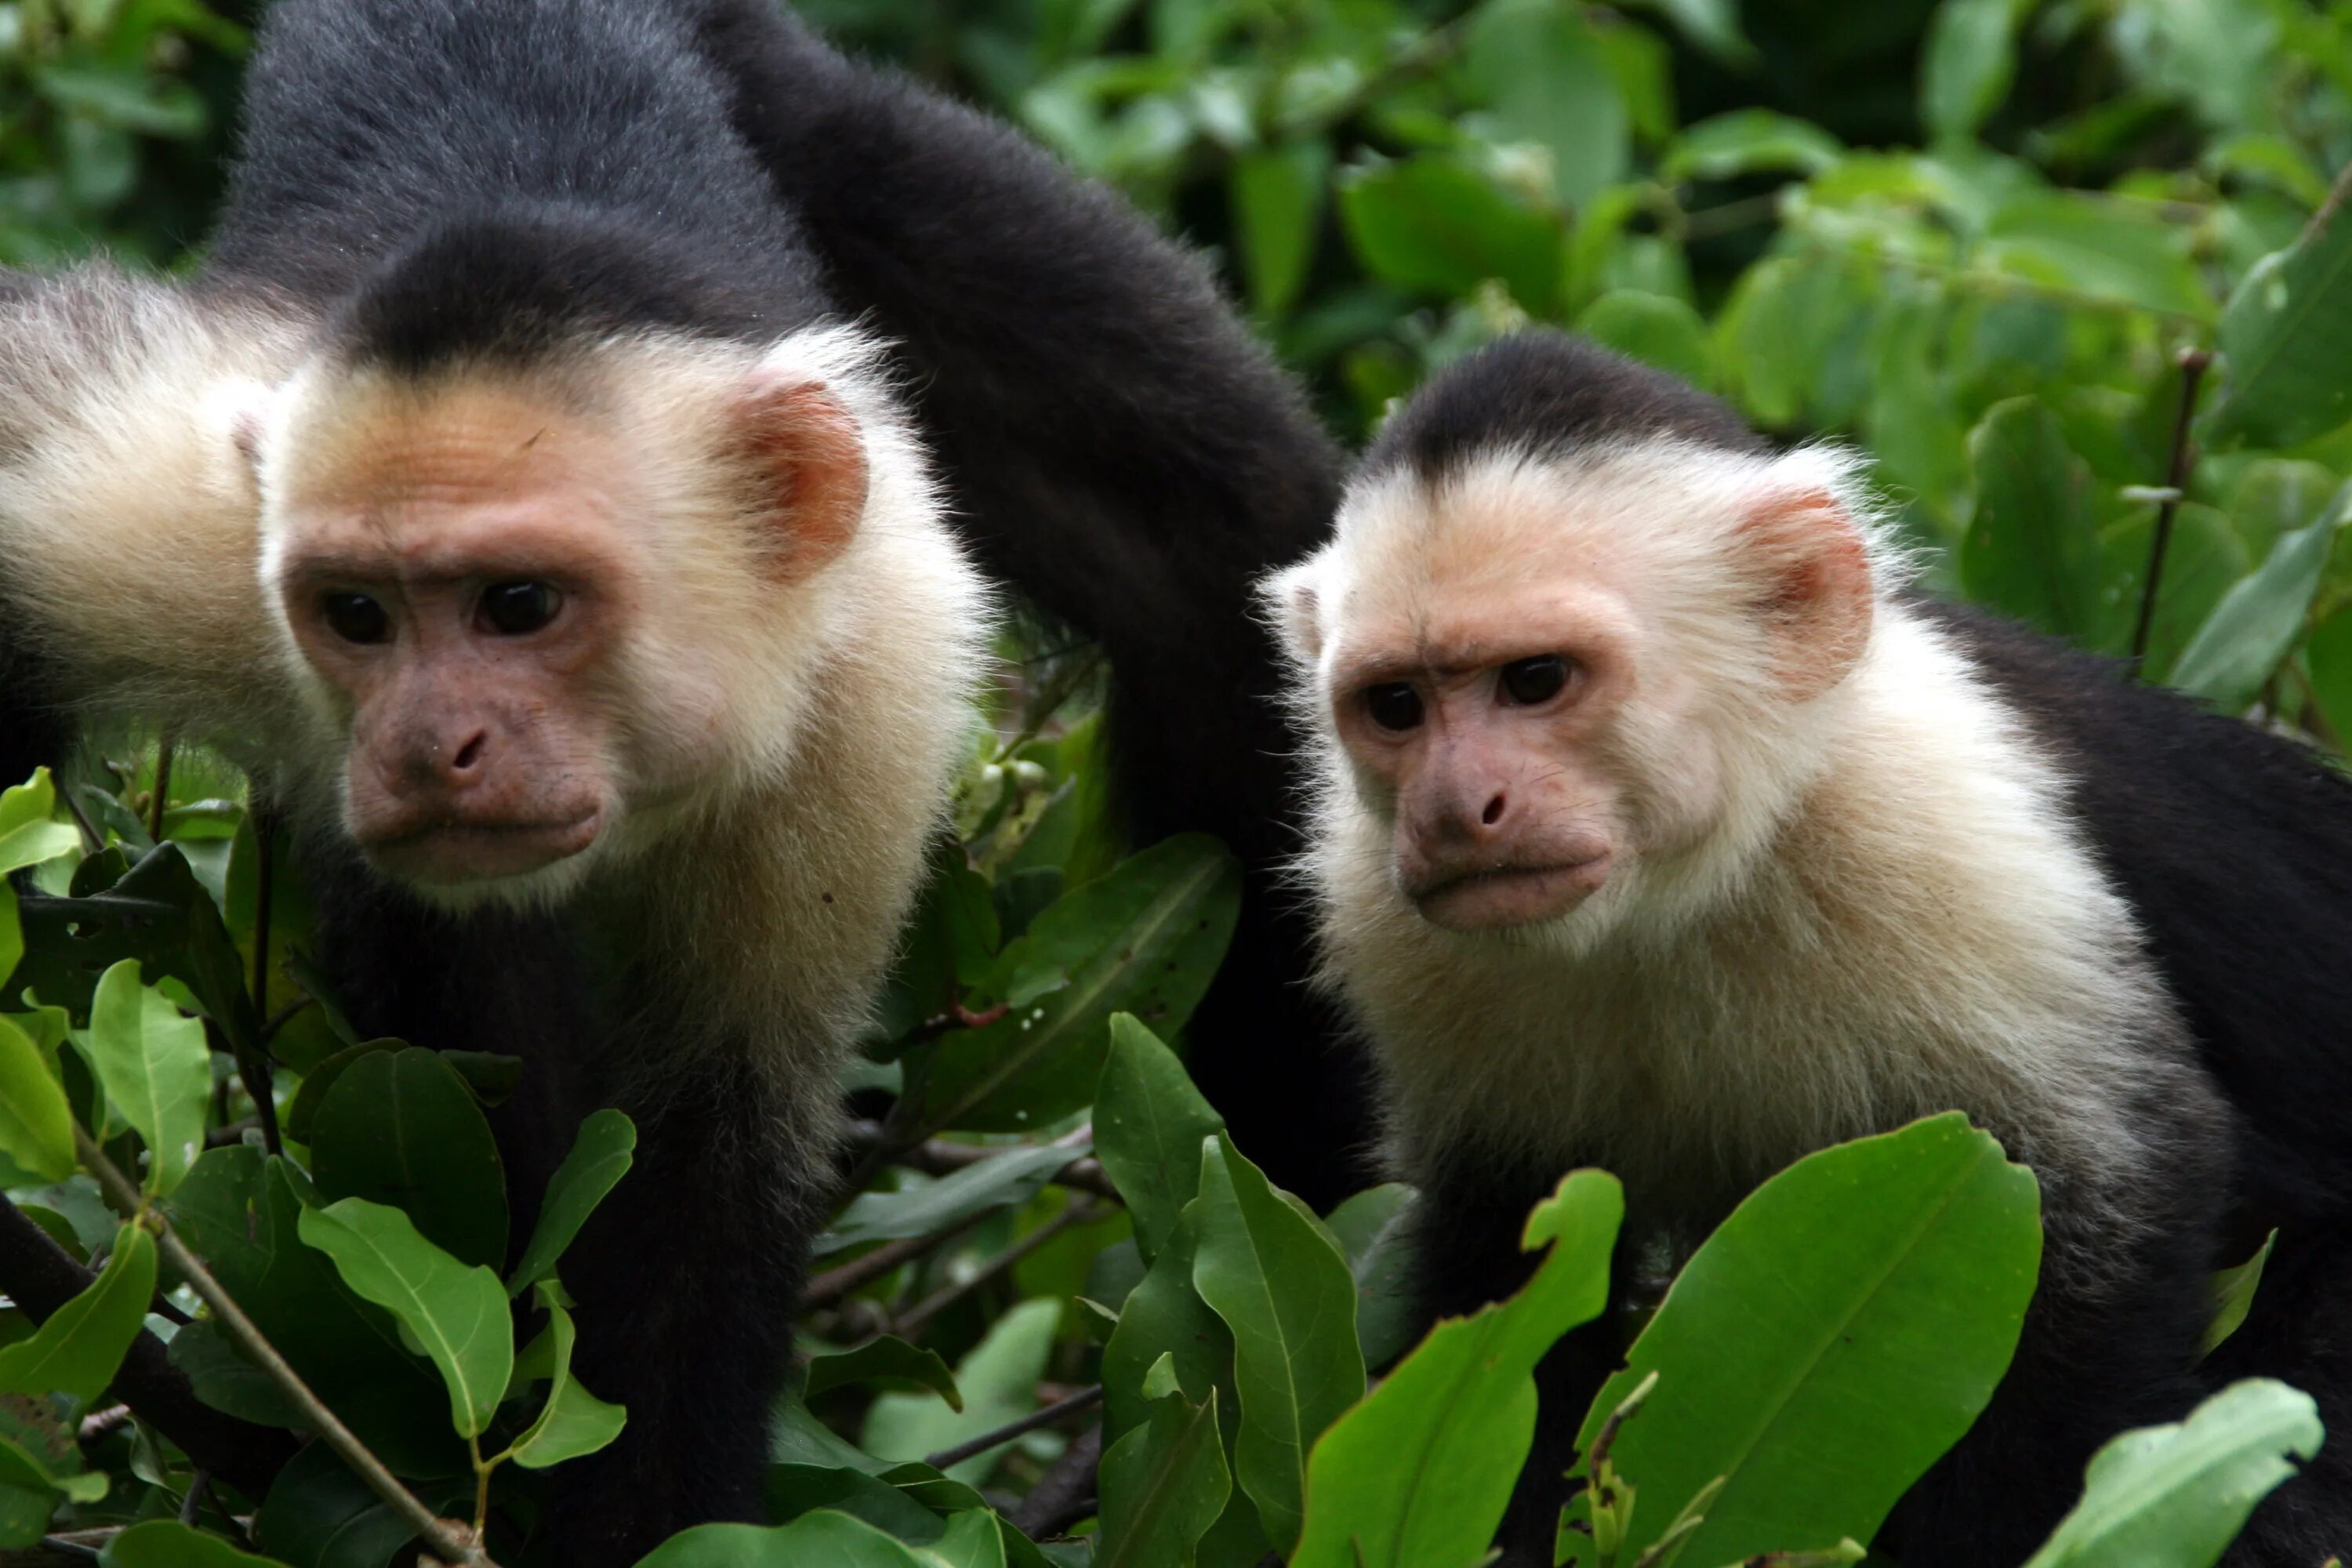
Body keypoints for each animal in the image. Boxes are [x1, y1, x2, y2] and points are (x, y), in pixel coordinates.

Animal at [1270, 328, 2352, 1561]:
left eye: (1536, 679)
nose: (1456, 809)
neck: (1672, 892)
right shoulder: (1380, 911)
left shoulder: (1935, 821)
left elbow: (2101, 1199)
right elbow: (1506, 1272)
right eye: (1396, 706)